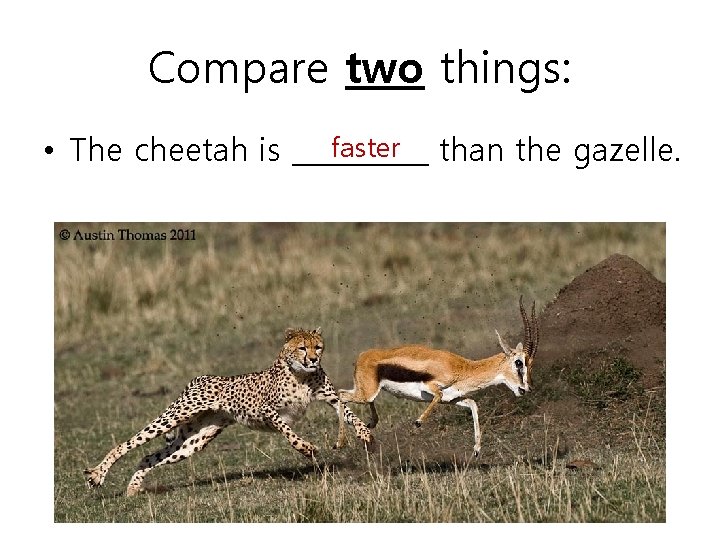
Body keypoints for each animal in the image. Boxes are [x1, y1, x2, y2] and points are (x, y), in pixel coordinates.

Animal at [83, 327, 373, 496]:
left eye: (318, 346)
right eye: (302, 347)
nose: (313, 359)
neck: (300, 374)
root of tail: (200, 377)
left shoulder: (330, 396)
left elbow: (348, 413)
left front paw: (364, 433)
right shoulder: (266, 411)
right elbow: (287, 430)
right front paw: (304, 447)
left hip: (193, 440)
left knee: (148, 457)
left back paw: (133, 488)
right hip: (174, 416)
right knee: (126, 444)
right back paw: (97, 475)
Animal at [339, 297, 539, 456]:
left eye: (530, 364)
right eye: (519, 363)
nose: (527, 388)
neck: (463, 368)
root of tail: (362, 356)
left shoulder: (453, 399)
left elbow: (473, 405)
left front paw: (476, 449)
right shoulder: (431, 388)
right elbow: (438, 395)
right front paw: (418, 422)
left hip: (367, 392)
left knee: (347, 395)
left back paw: (371, 424)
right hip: (366, 393)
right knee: (341, 395)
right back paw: (340, 442)